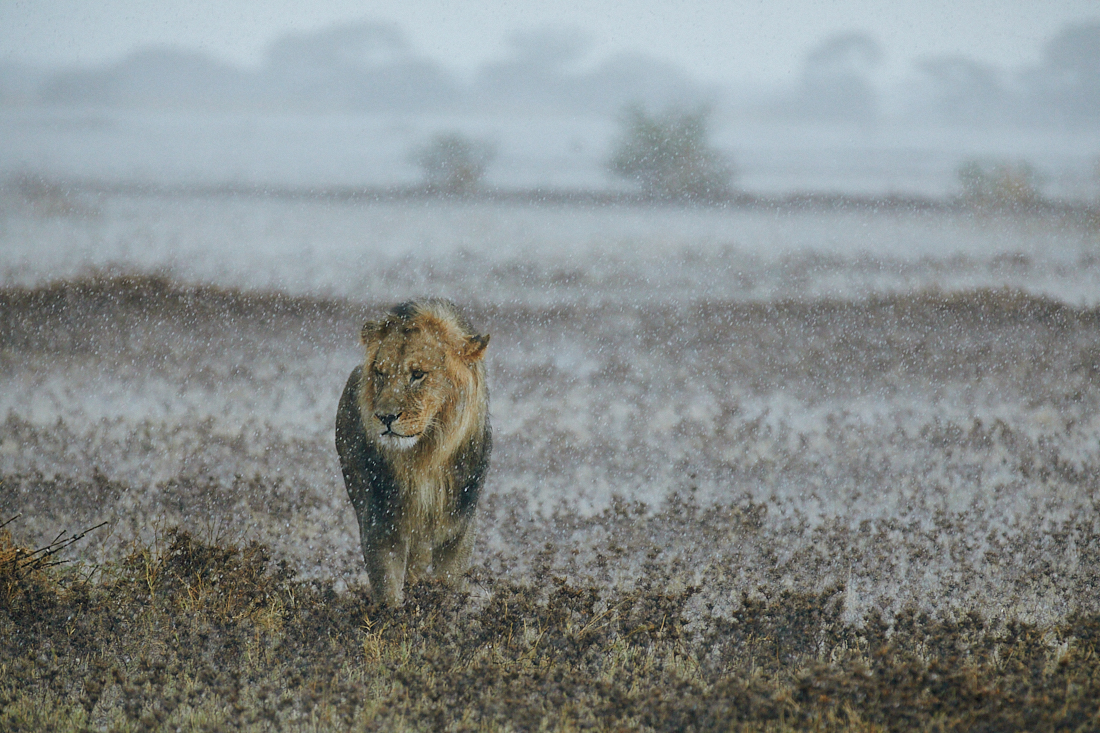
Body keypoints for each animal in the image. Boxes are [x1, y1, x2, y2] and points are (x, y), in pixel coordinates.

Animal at [332, 299, 492, 603]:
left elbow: (449, 584)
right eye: (380, 374)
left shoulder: (460, 525)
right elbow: (388, 590)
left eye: (418, 374)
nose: (385, 417)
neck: (425, 456)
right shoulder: (381, 521)